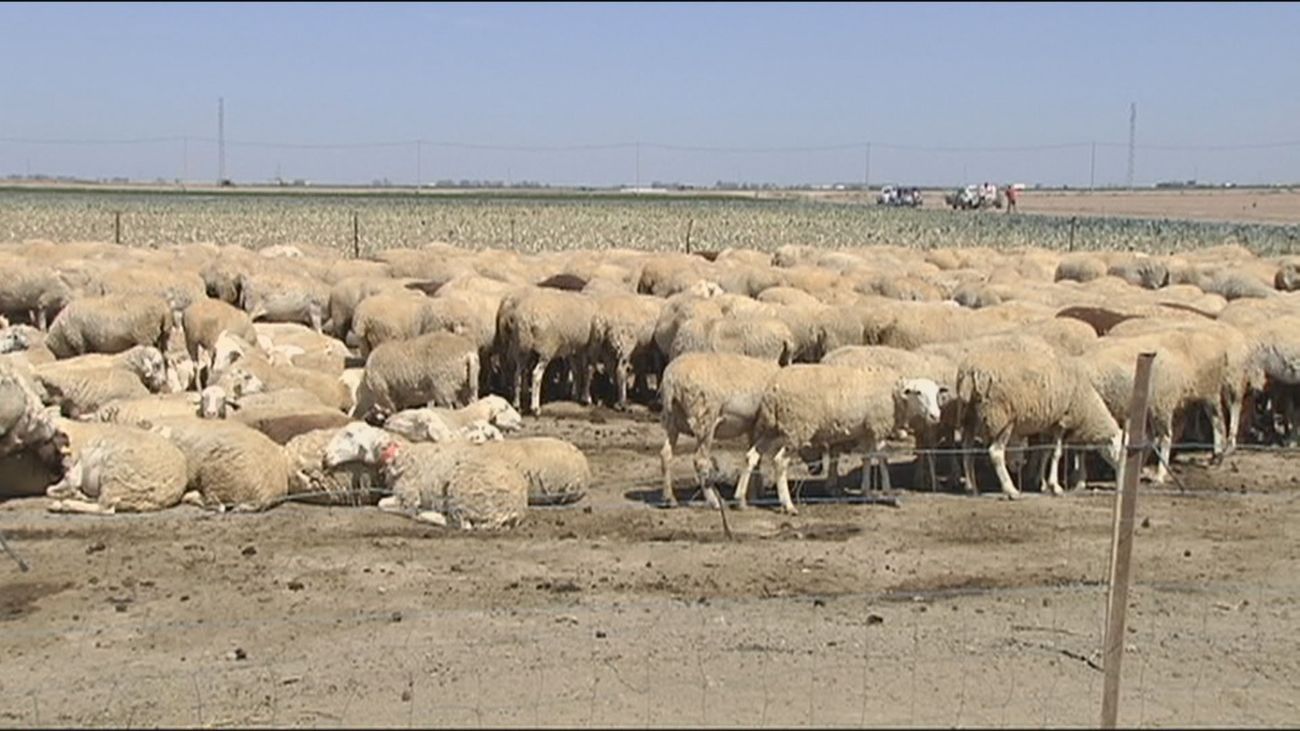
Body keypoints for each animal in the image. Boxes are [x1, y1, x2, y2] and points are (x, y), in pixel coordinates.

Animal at [45, 423, 189, 514]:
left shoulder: (75, 471)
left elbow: (53, 487)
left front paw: (70, 495)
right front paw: (77, 494)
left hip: (114, 476)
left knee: (105, 509)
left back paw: (62, 505)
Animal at [322, 422, 528, 529]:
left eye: (349, 435)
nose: (325, 457)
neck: (404, 454)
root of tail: (515, 509)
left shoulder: (408, 495)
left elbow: (384, 504)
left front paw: (409, 511)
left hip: (462, 493)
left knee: (460, 524)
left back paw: (426, 515)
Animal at [659, 352, 782, 508]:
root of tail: (672, 379)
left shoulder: (752, 426)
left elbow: (755, 456)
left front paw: (755, 493)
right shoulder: (760, 424)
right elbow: (756, 456)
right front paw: (750, 496)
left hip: (672, 419)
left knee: (665, 455)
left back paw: (670, 499)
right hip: (705, 418)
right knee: (700, 460)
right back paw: (714, 501)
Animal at [736, 365, 947, 515]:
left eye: (936, 393)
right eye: (918, 392)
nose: (936, 416)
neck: (895, 396)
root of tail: (773, 390)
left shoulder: (867, 431)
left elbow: (867, 459)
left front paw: (866, 492)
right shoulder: (878, 426)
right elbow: (883, 460)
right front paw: (890, 496)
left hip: (772, 428)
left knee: (751, 456)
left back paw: (740, 500)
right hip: (798, 427)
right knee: (780, 461)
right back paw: (788, 505)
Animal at [954, 349, 1123, 498]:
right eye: (1119, 452)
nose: (1121, 480)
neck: (1089, 409)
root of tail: (970, 371)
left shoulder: (1049, 425)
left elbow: (1045, 452)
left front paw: (1042, 484)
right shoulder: (1062, 421)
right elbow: (1056, 454)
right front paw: (1055, 487)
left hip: (969, 414)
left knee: (967, 450)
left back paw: (971, 488)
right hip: (1000, 416)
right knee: (995, 452)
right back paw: (1011, 490)